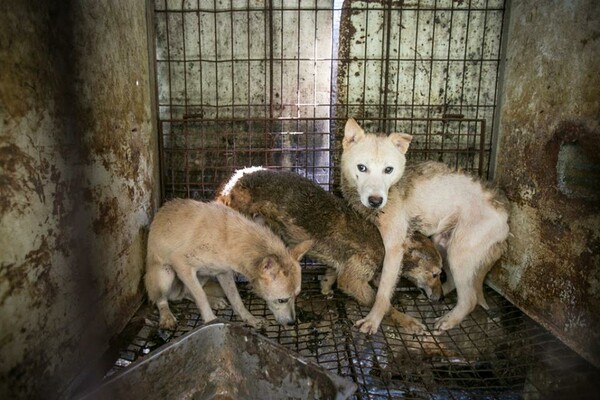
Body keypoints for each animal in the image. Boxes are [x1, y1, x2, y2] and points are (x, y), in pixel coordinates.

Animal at [145, 198, 314, 330]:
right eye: (282, 300)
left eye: (296, 295)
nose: (292, 323)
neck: (227, 240)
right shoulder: (182, 265)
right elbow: (201, 297)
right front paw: (210, 321)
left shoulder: (223, 273)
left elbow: (236, 300)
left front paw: (250, 320)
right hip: (166, 273)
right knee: (163, 299)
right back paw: (166, 316)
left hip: (204, 276)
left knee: (185, 293)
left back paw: (215, 301)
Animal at [218, 166, 442, 332]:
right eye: (436, 274)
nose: (441, 298)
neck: (382, 244)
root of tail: (234, 179)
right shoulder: (352, 280)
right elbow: (384, 305)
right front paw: (407, 321)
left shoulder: (340, 267)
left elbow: (329, 275)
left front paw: (325, 289)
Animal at [340, 119, 508, 334]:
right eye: (361, 168)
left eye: (388, 170)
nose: (376, 201)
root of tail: (505, 214)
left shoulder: (394, 248)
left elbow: (383, 292)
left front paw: (373, 320)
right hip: (442, 242)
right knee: (453, 283)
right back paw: (438, 293)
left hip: (459, 252)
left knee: (469, 299)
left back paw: (448, 320)